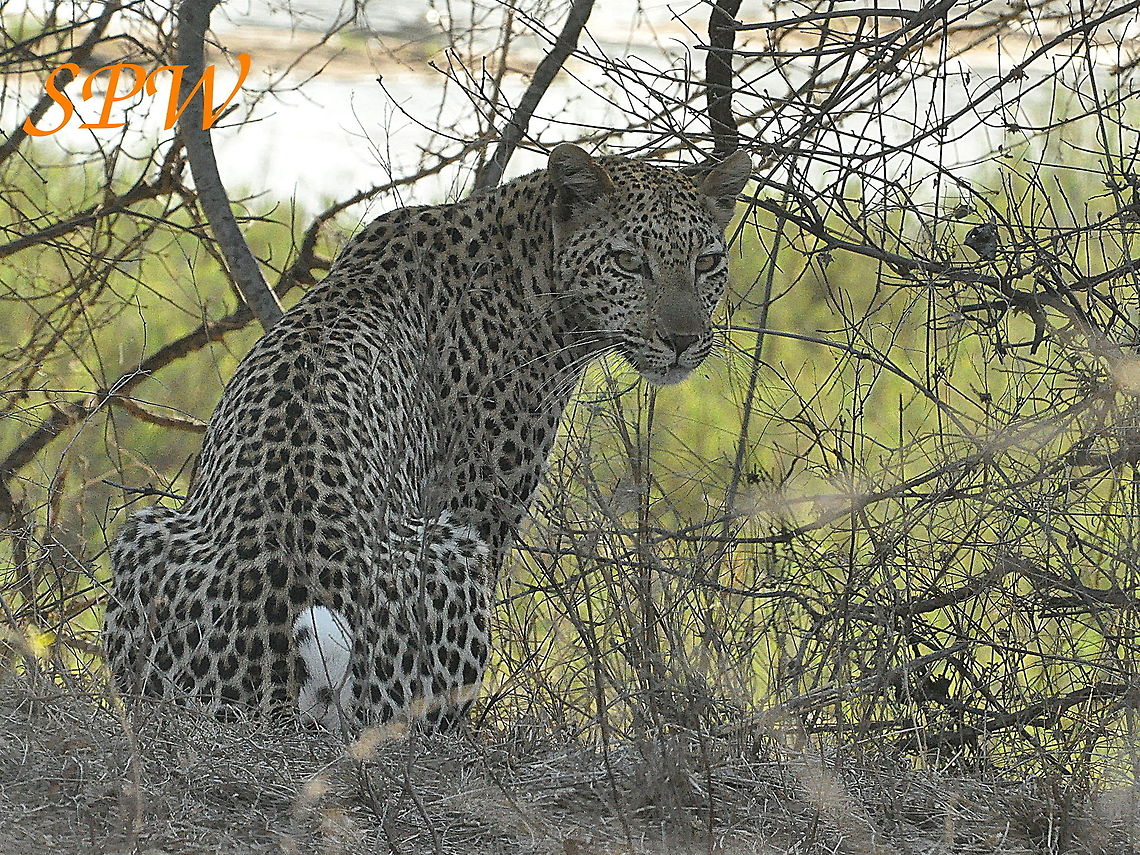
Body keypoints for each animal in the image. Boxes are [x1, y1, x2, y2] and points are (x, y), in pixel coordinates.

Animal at [102, 143, 752, 733]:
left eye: (706, 264)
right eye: (628, 262)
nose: (683, 340)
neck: (533, 264)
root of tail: (271, 676)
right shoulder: (481, 503)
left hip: (144, 530)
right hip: (454, 549)